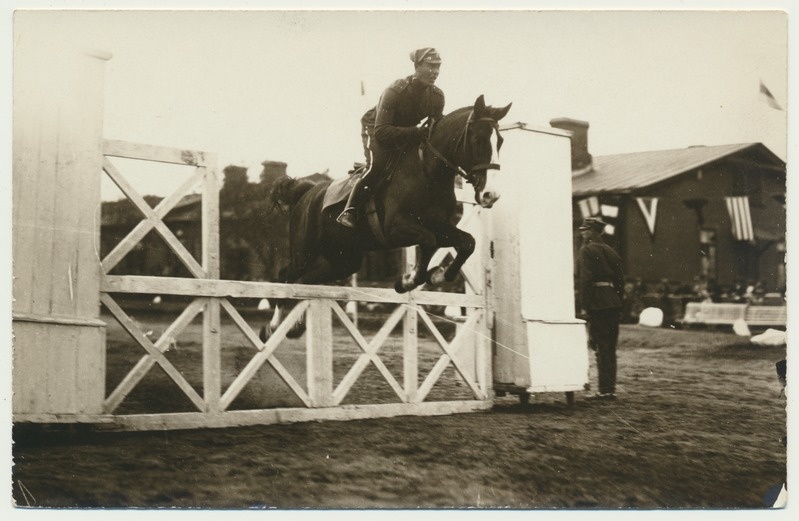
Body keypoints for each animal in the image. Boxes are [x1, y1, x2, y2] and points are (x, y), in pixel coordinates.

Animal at [262, 94, 512, 340]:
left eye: (500, 141)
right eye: (478, 139)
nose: (491, 195)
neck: (428, 174)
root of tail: (305, 193)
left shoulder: (442, 227)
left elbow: (467, 242)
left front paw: (437, 276)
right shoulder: (396, 229)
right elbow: (428, 241)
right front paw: (408, 280)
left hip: (344, 260)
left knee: (306, 281)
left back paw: (294, 326)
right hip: (305, 251)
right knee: (287, 275)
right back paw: (272, 328)